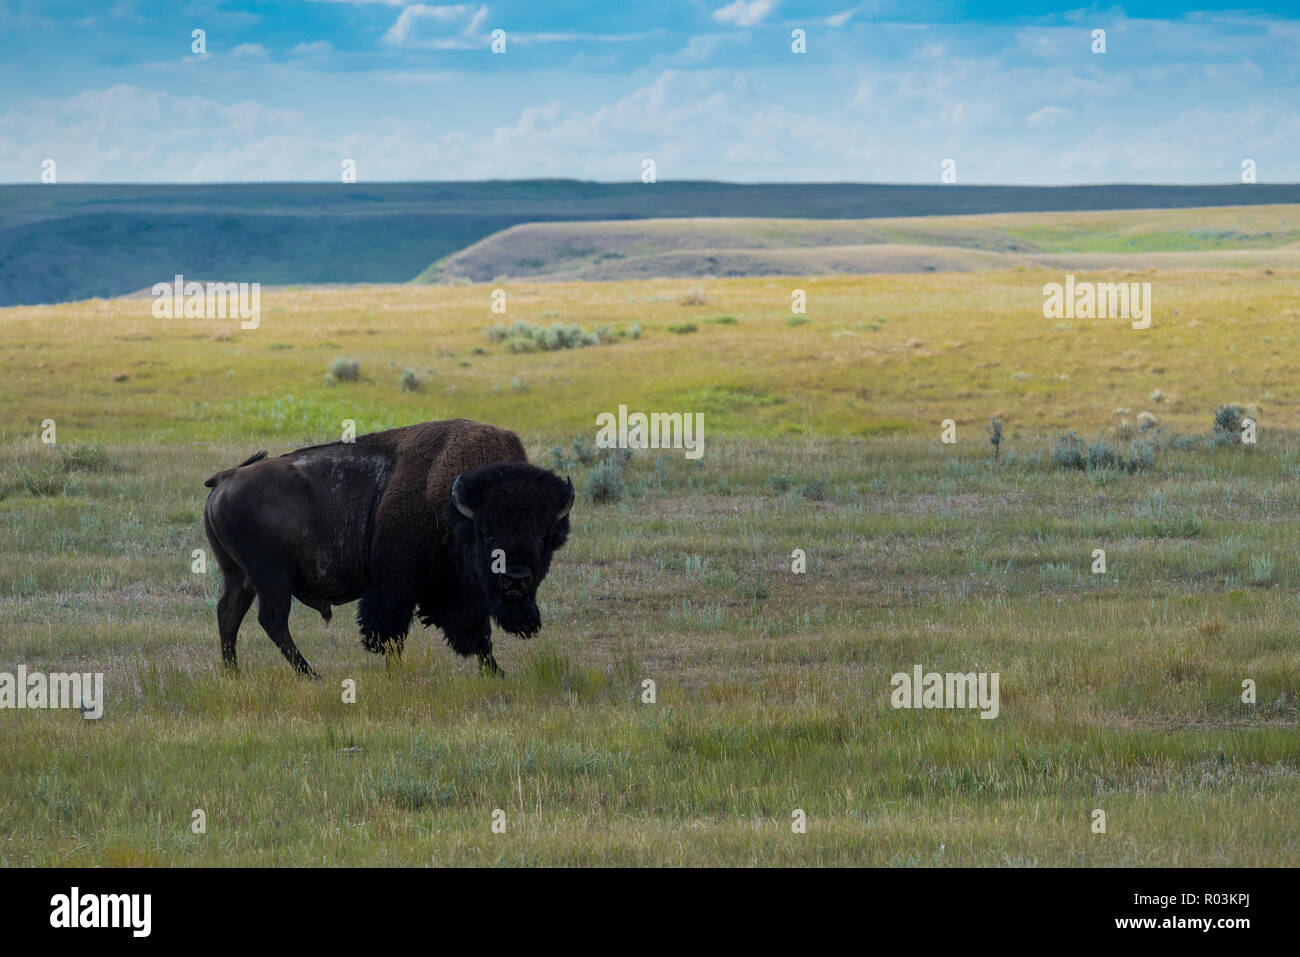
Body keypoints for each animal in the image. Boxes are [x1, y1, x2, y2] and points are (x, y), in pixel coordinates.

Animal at [200, 421, 572, 681]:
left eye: (544, 536)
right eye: (487, 533)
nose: (516, 579)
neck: (452, 507)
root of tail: (227, 477)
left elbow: (476, 634)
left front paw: (496, 672)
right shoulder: (397, 585)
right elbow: (391, 633)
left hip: (239, 576)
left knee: (229, 616)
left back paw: (235, 674)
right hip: (271, 577)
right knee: (272, 620)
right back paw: (311, 675)